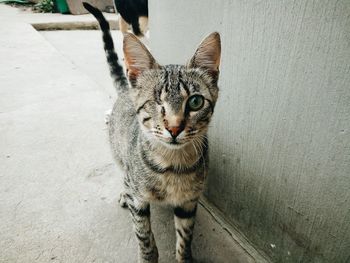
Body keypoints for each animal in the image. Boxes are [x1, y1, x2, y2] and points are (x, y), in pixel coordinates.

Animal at [82, 3, 219, 262]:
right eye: (156, 102)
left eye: (195, 102)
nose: (174, 127)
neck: (172, 165)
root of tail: (126, 90)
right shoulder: (139, 200)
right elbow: (143, 235)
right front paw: (147, 255)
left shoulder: (188, 203)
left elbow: (185, 238)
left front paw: (185, 256)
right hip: (121, 159)